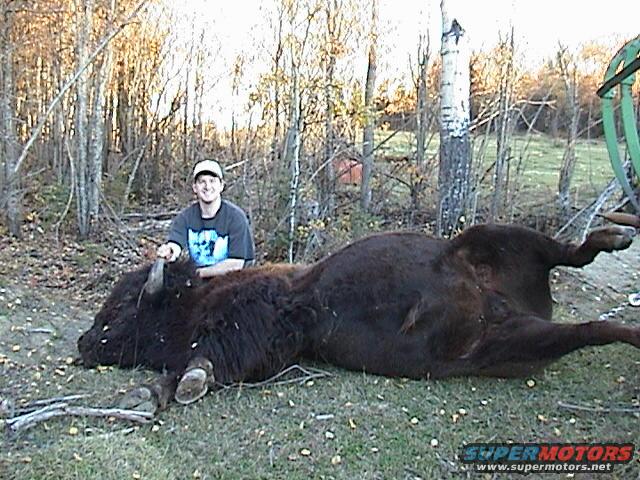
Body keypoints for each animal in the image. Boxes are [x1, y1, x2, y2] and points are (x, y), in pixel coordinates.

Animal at [78, 223, 640, 412]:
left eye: (122, 304)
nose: (83, 343)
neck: (193, 298)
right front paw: (148, 393)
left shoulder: (258, 316)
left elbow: (207, 356)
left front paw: (185, 383)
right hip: (505, 348)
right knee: (589, 327)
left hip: (489, 236)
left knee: (567, 251)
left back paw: (616, 235)